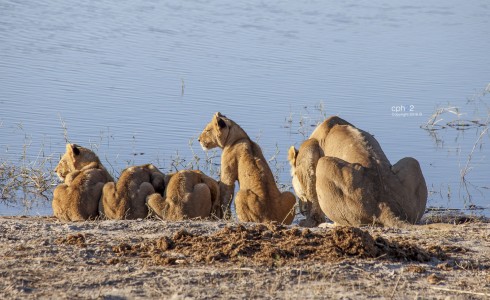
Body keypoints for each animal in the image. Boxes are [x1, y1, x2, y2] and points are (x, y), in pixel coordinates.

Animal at [290, 115, 426, 227]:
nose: (301, 209)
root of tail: (385, 203)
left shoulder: (309, 153)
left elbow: (313, 202)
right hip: (411, 162)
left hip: (324, 164)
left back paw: (327, 225)